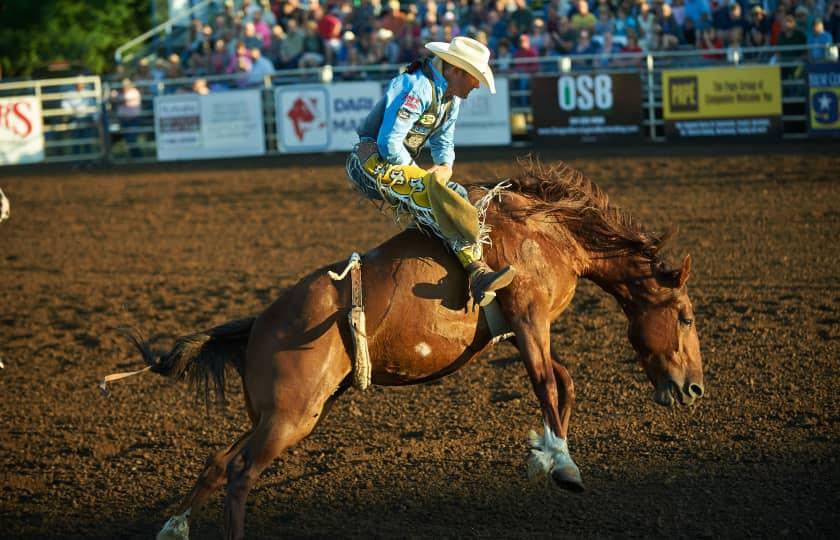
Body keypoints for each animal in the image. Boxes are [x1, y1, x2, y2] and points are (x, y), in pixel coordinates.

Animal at [135, 161, 704, 540]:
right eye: (686, 316)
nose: (694, 388)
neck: (548, 231)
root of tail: (260, 324)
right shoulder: (528, 317)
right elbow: (546, 382)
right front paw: (563, 464)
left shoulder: (528, 328)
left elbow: (563, 381)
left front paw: (545, 455)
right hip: (289, 417)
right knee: (239, 475)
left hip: (287, 414)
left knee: (219, 461)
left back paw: (175, 525)